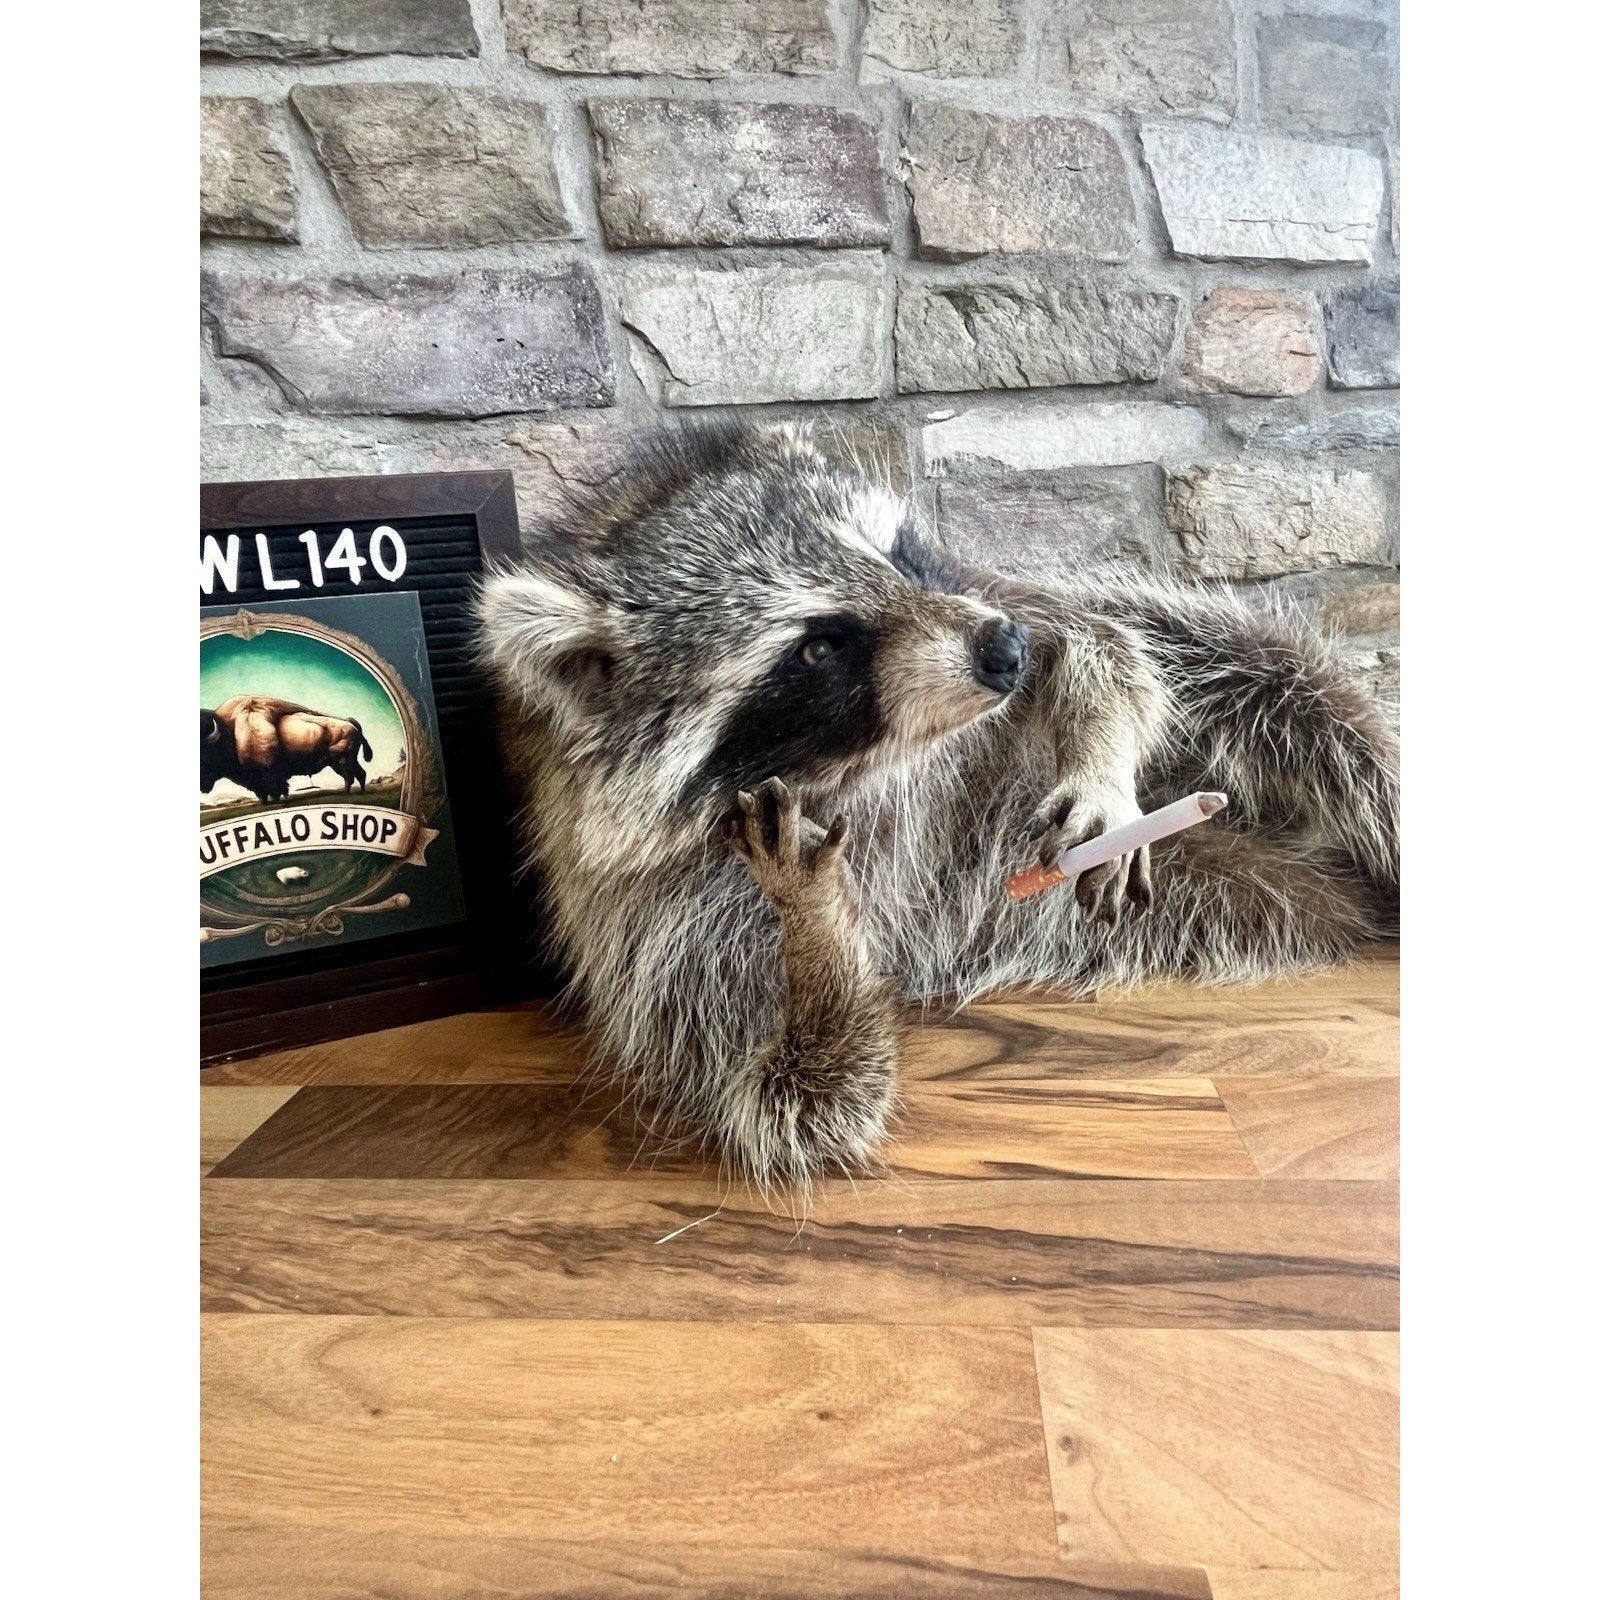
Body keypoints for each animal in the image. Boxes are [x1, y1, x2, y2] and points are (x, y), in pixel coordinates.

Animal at [478, 424, 1398, 1187]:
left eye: (900, 557)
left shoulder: (998, 597)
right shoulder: (659, 924)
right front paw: (818, 917)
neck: (867, 772)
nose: (1001, 650)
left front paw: (1101, 769)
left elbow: (1105, 642)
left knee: (1284, 688)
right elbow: (797, 1098)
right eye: (819, 646)